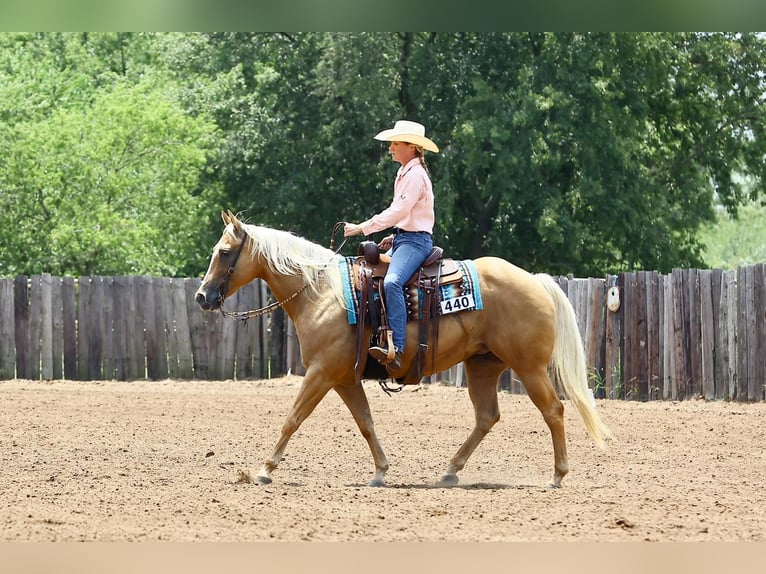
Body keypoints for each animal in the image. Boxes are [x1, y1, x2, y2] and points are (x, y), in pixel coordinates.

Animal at [196, 212, 612, 490]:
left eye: (225, 251)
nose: (202, 297)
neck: (321, 292)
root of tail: (536, 281)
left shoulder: (321, 372)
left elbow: (293, 418)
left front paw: (264, 469)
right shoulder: (344, 378)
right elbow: (365, 422)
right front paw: (380, 471)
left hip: (529, 367)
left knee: (553, 410)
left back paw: (557, 475)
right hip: (482, 366)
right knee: (487, 417)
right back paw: (450, 471)